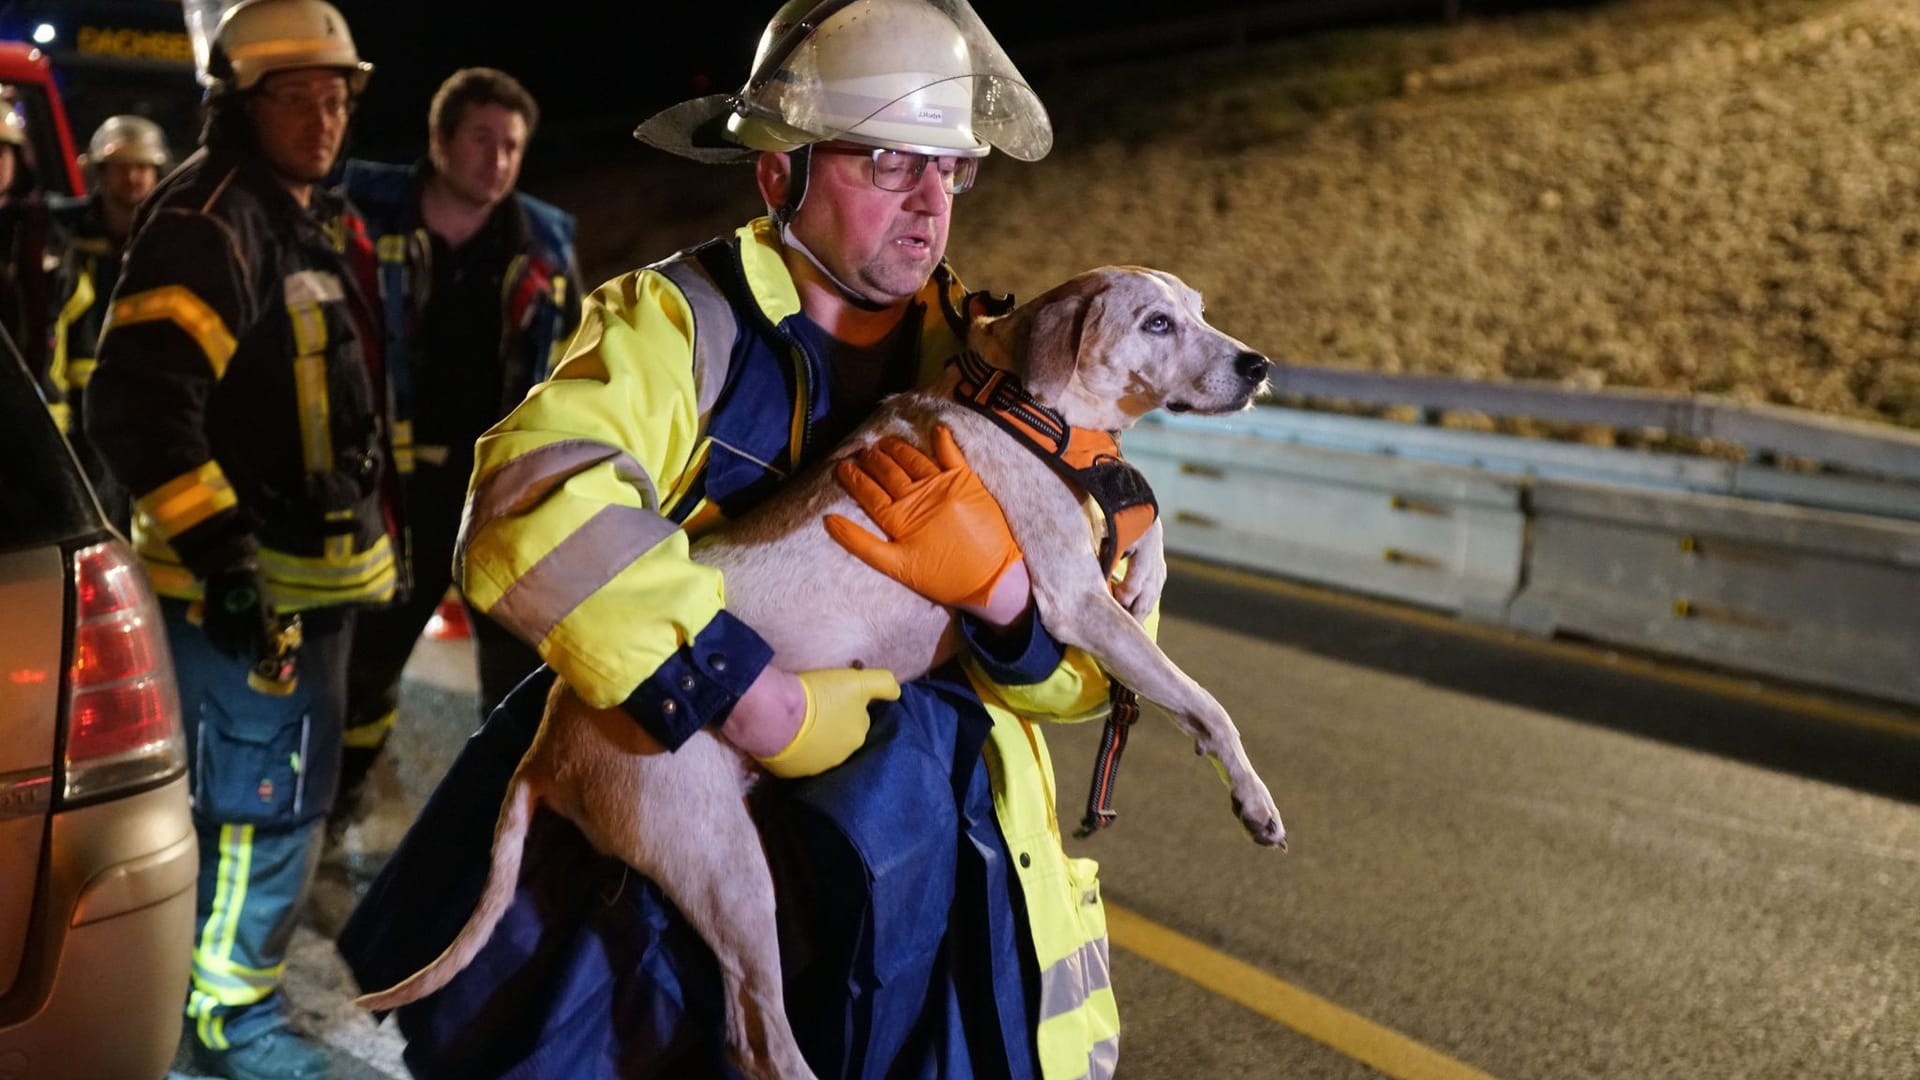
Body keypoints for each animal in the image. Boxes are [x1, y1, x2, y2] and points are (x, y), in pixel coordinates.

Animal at [360, 265, 1290, 1076]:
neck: (1024, 402)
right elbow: (1207, 704)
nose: (1259, 365)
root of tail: (548, 747)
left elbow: (1145, 524)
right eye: (1156, 323)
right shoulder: (1068, 597)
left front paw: (1151, 574)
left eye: (1199, 310)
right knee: (758, 1038)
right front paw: (1253, 799)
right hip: (725, 870)